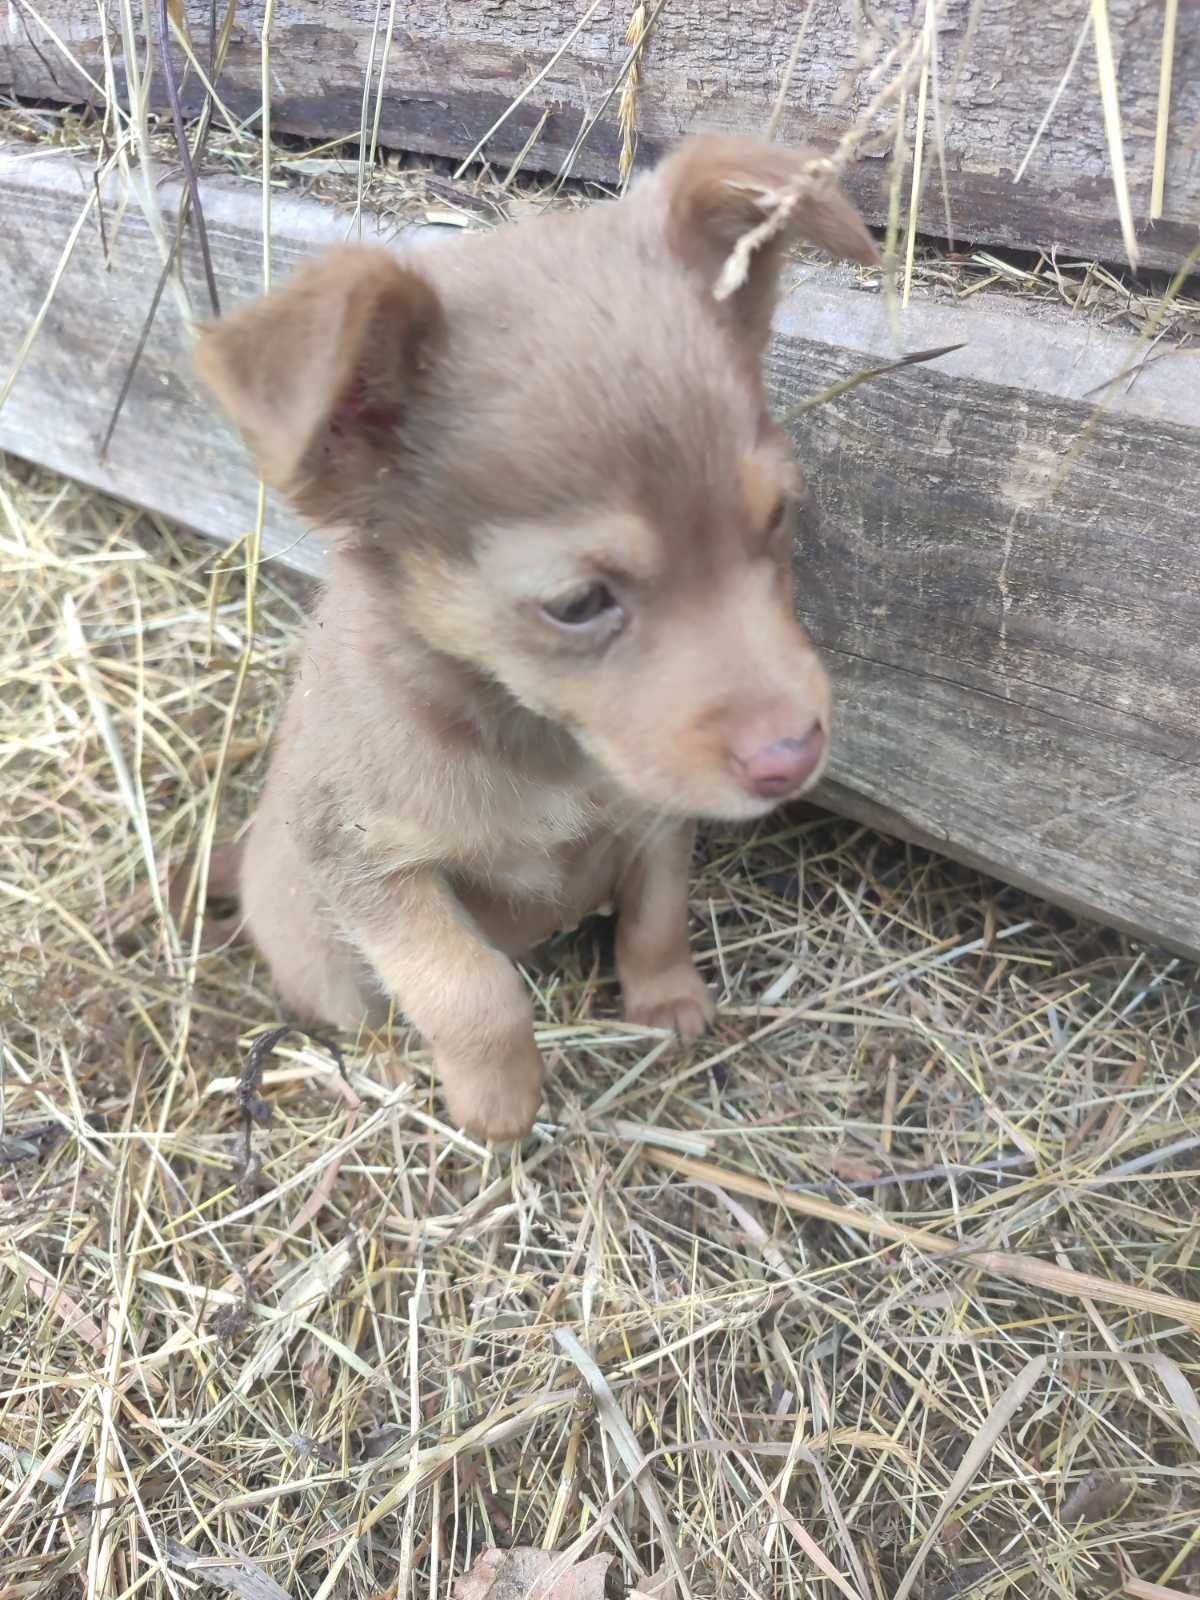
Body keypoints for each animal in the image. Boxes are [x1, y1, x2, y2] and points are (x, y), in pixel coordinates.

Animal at [192, 134, 876, 1139]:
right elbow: (470, 988)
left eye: (778, 516)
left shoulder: (657, 816)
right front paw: (498, 1103)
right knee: (358, 1009)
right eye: (579, 603)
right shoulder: (369, 870)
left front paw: (668, 1002)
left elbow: (656, 915)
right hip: (322, 950)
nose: (793, 756)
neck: (541, 743)